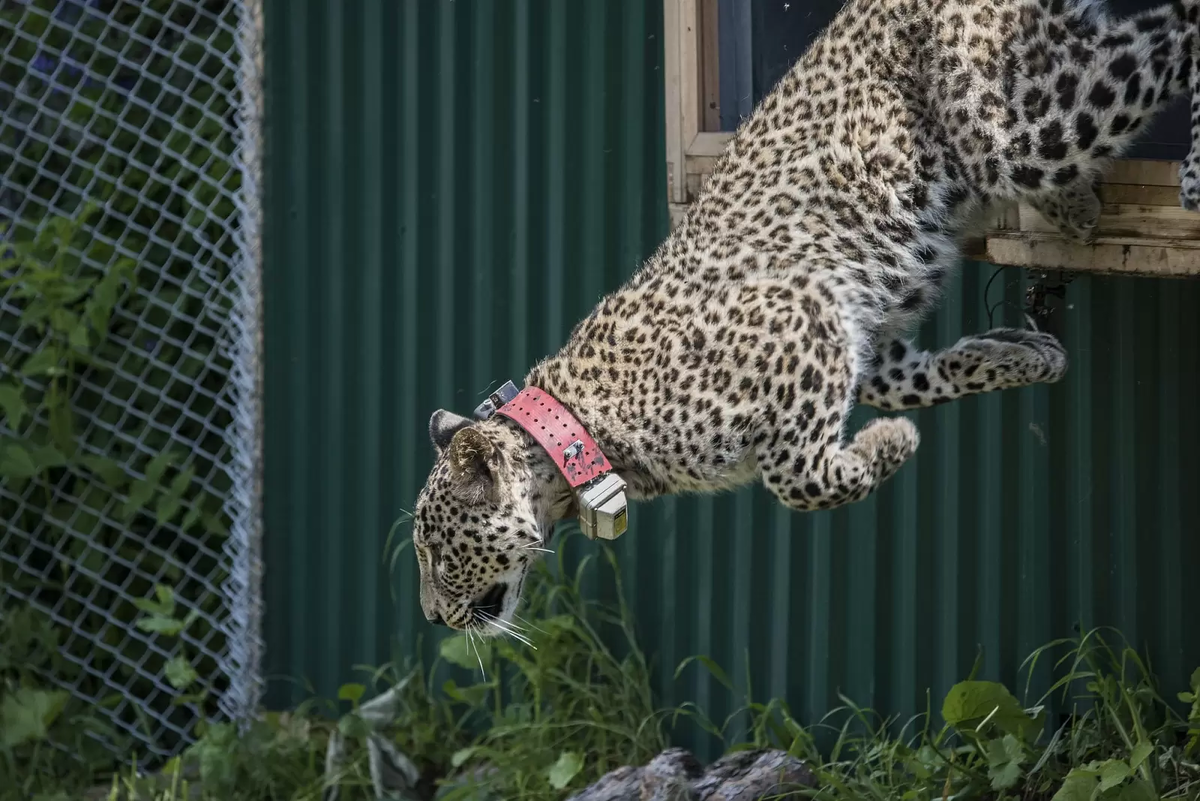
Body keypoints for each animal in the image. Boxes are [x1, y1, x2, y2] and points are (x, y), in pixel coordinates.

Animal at [412, 0, 1200, 633]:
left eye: (438, 554)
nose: (432, 617)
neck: (580, 438)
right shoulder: (859, 337)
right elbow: (920, 379)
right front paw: (1023, 353)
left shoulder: (802, 312)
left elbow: (798, 481)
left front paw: (883, 445)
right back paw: (1076, 208)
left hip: (1020, 129)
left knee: (1170, 35)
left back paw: (1185, 174)